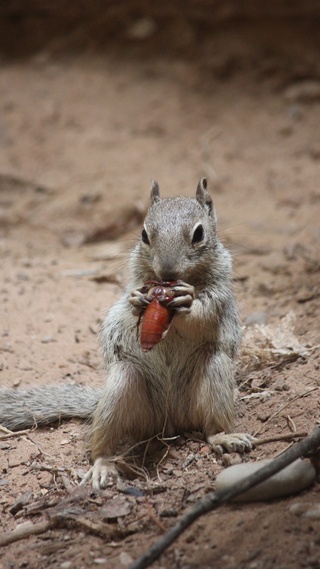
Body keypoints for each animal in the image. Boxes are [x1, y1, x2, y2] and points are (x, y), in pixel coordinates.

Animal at [1, 178, 254, 488]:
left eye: (199, 234)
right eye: (144, 234)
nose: (167, 272)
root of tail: (169, 421)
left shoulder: (220, 289)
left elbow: (207, 309)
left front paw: (188, 300)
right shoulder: (137, 278)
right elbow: (128, 302)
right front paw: (136, 301)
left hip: (213, 371)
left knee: (211, 427)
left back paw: (225, 436)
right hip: (123, 385)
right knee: (103, 441)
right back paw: (102, 464)